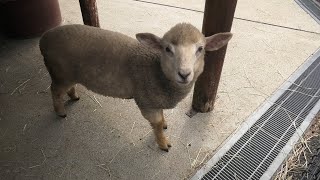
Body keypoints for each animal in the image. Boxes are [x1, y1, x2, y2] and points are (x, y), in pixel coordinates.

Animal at [40, 22, 232, 152]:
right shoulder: (146, 102)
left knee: (66, 88)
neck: (157, 71)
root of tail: (44, 39)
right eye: (167, 49)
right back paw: (60, 111)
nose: (184, 74)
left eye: (200, 49)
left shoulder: (155, 100)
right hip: (60, 74)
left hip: (69, 75)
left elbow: (161, 119)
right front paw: (163, 143)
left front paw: (164, 125)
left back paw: (73, 96)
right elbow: (156, 124)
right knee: (54, 90)